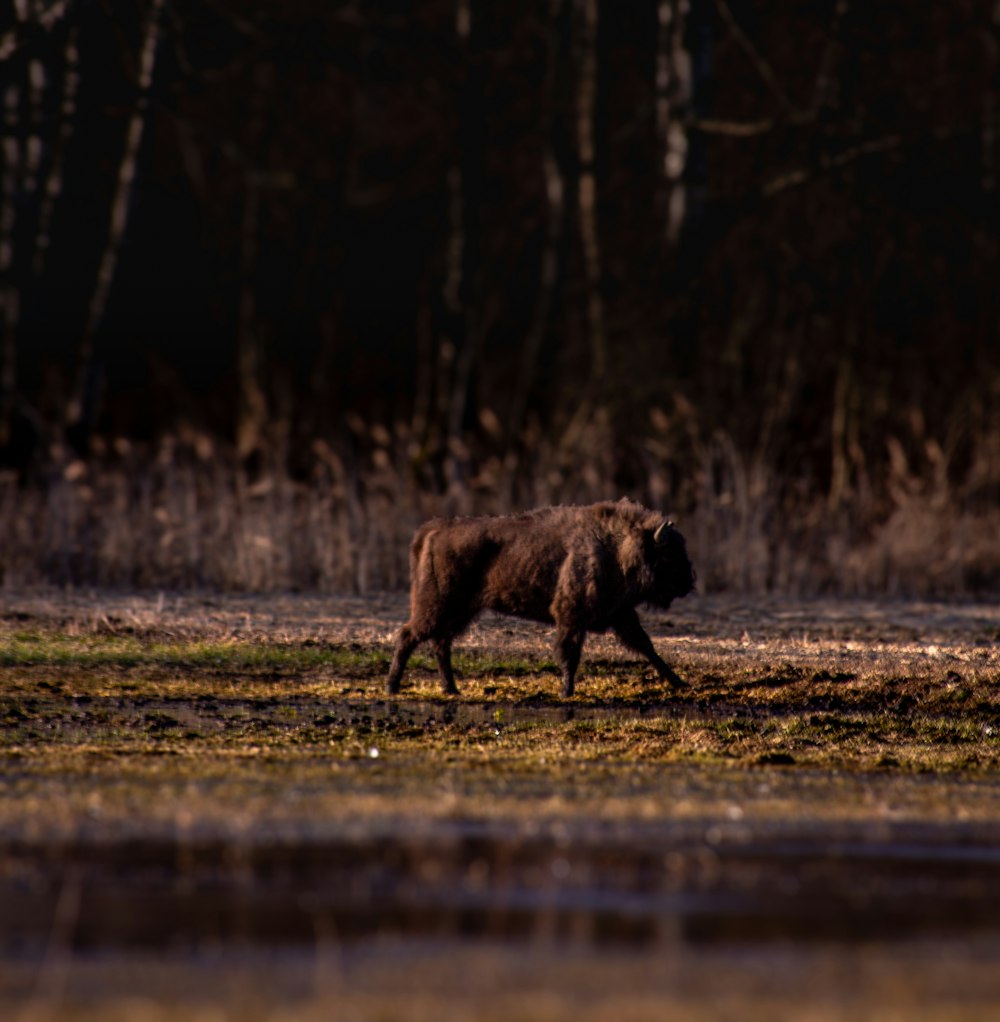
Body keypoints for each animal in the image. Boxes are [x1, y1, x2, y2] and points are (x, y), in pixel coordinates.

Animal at [386, 500, 699, 699]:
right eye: (668, 555)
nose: (689, 582)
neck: (617, 546)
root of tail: (432, 530)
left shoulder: (621, 616)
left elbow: (648, 648)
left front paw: (679, 682)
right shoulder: (572, 616)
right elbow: (570, 654)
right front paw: (566, 691)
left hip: (461, 610)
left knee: (440, 643)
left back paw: (450, 688)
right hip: (437, 606)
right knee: (409, 635)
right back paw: (393, 686)